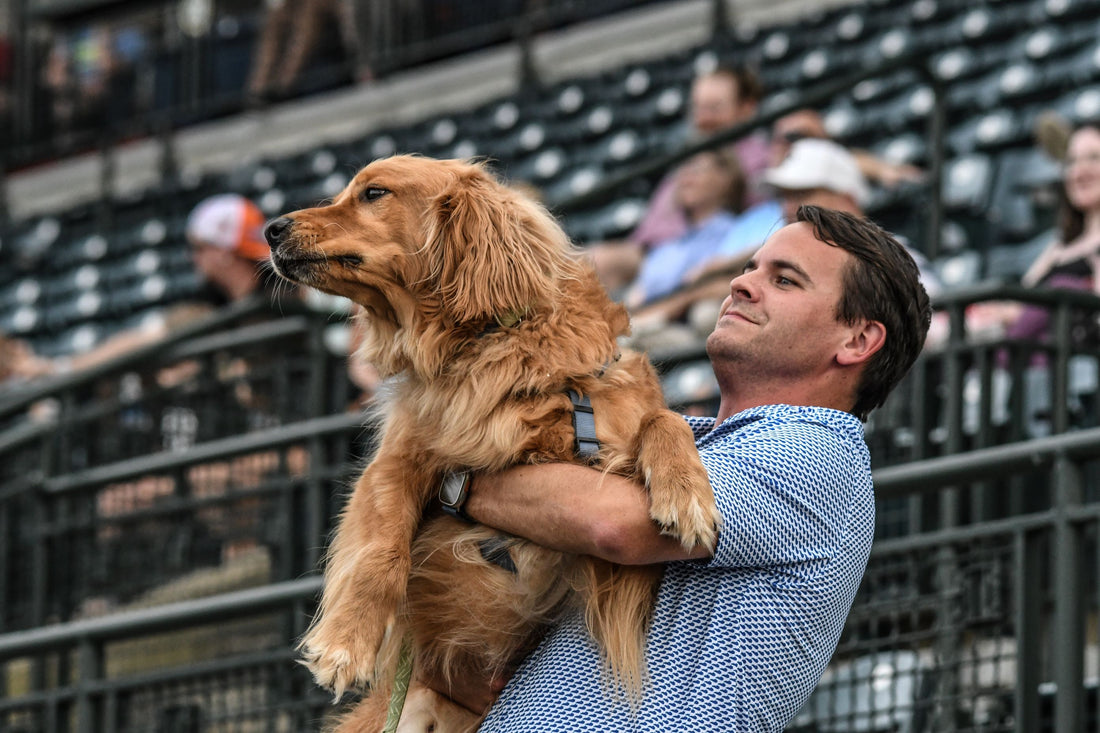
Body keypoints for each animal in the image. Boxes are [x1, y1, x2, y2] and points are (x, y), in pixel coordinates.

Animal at [266, 155, 721, 730]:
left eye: (373, 193)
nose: (271, 229)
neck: (495, 342)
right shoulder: (400, 458)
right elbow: (381, 549)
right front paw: (348, 641)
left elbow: (665, 420)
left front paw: (687, 496)